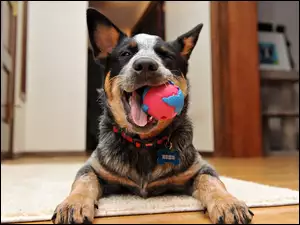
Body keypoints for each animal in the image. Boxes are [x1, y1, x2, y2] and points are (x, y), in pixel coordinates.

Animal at [51, 7, 253, 224]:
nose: (146, 64)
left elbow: (212, 180)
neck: (143, 143)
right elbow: (84, 180)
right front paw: (73, 204)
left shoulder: (199, 168)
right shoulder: (93, 167)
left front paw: (229, 203)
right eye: (125, 53)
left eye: (167, 56)